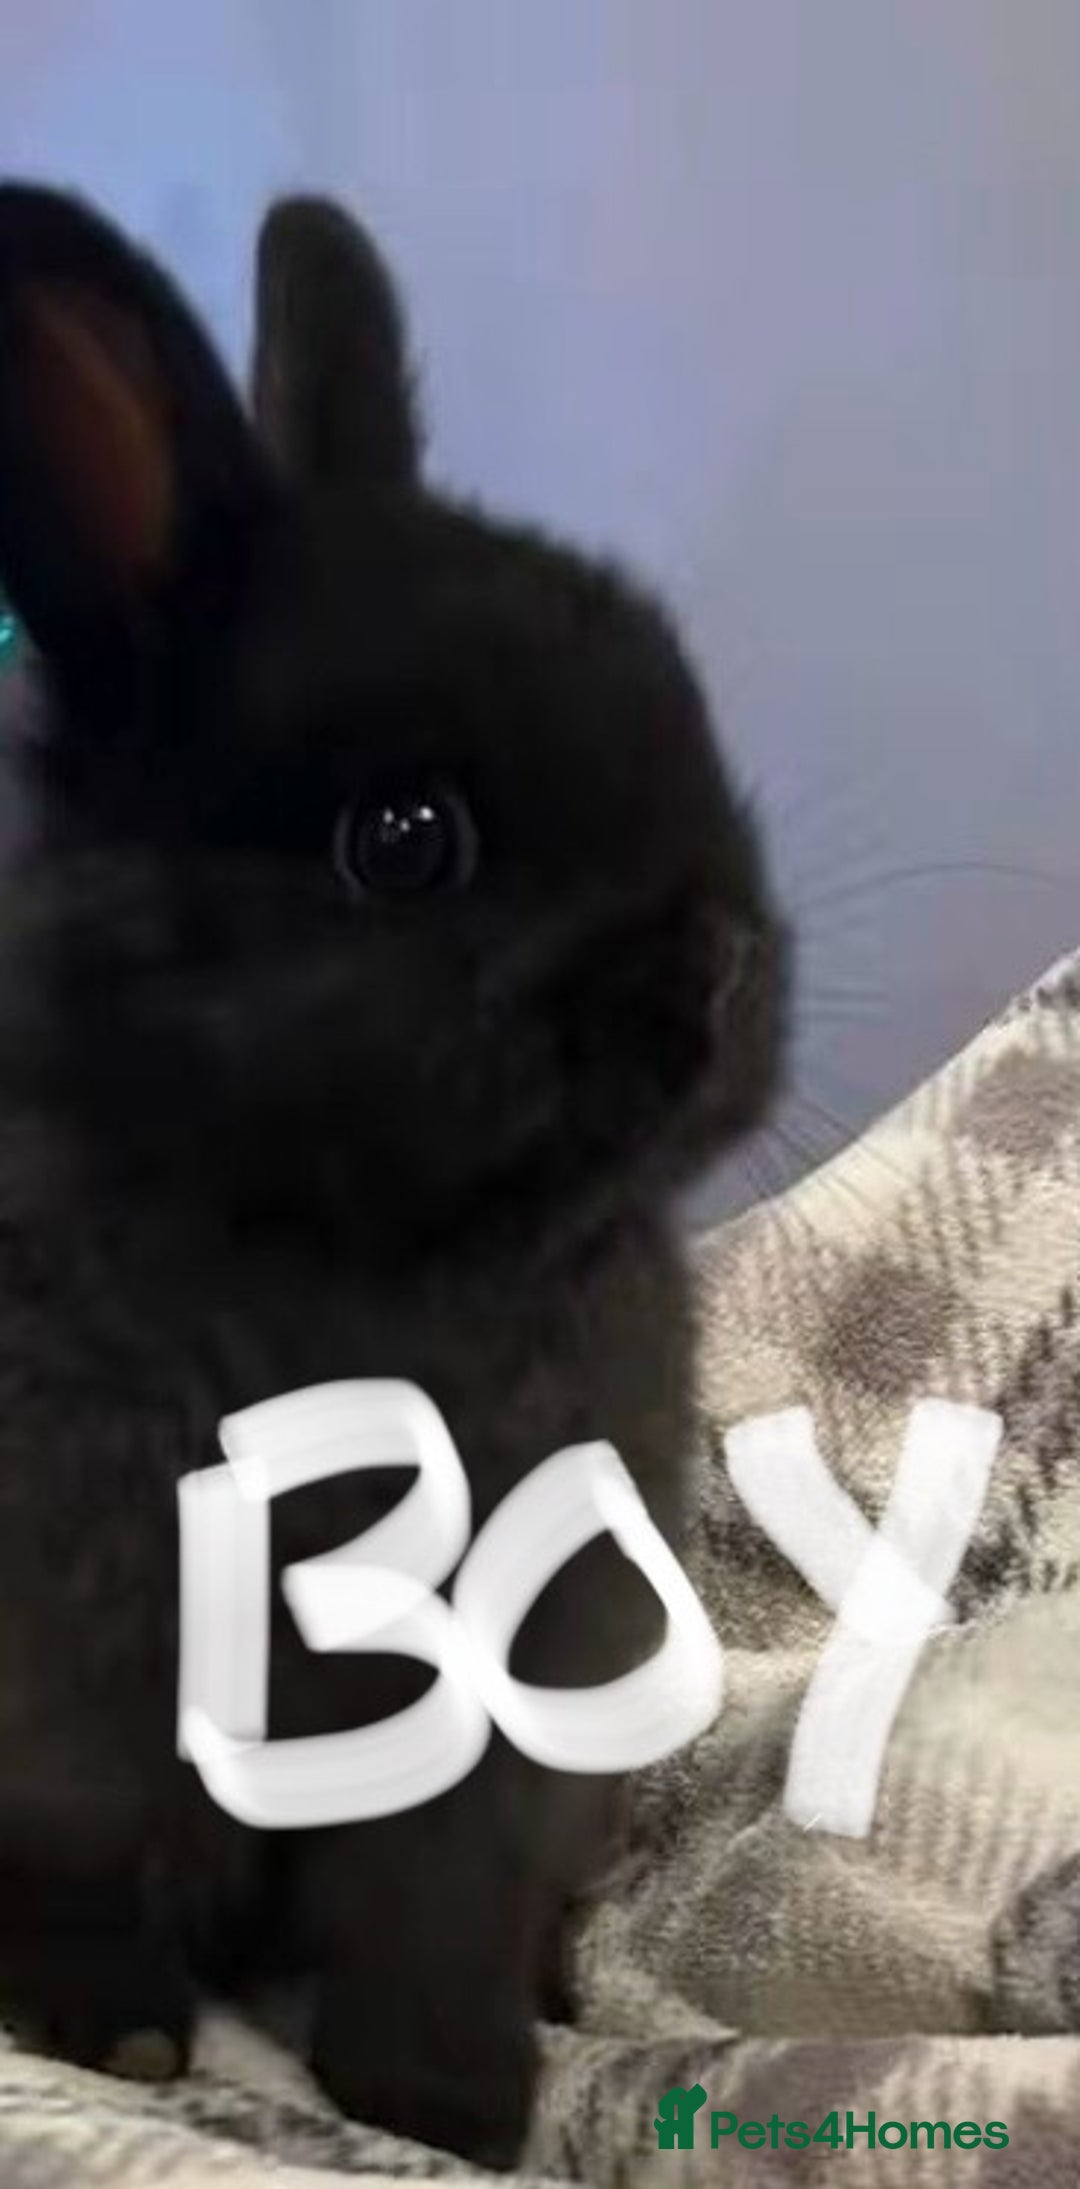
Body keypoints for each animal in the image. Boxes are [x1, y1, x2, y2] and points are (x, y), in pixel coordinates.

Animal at [0, 182, 787, 2169]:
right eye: (407, 839)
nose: (720, 971)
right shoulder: (74, 1669)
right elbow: (82, 1844)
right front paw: (115, 2032)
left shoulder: (510, 1687)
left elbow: (437, 1894)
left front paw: (449, 2097)